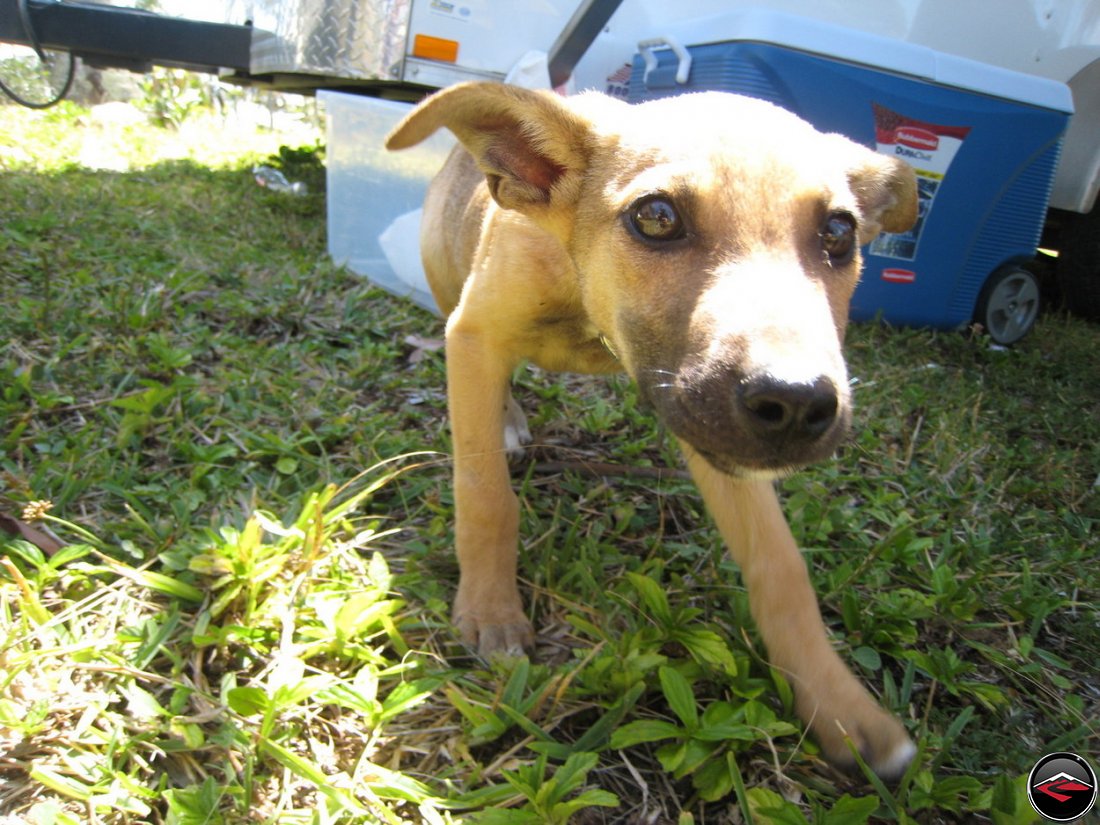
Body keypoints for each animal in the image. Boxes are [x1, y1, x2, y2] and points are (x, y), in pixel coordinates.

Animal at [387, 80, 919, 778]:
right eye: (657, 217)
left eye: (839, 232)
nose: (798, 402)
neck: (585, 308)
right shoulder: (477, 336)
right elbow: (485, 496)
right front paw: (490, 610)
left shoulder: (713, 427)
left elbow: (780, 564)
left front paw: (840, 706)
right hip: (449, 283)